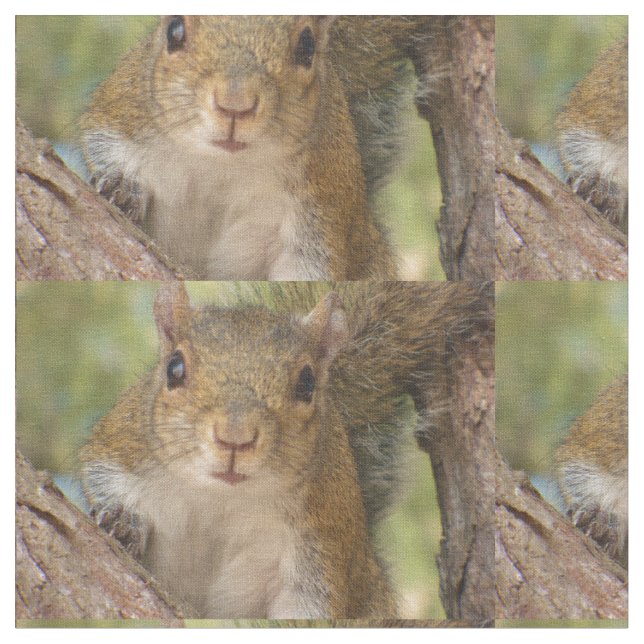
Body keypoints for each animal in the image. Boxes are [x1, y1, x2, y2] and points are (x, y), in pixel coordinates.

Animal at [80, 16, 430, 280]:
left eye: (307, 45)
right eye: (174, 30)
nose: (235, 103)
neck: (221, 163)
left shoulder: (322, 202)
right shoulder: (124, 109)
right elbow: (100, 141)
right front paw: (122, 188)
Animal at [80, 281, 490, 619]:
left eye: (307, 383)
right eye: (174, 368)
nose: (235, 437)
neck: (222, 497)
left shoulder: (322, 541)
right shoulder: (123, 444)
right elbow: (99, 474)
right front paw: (123, 522)